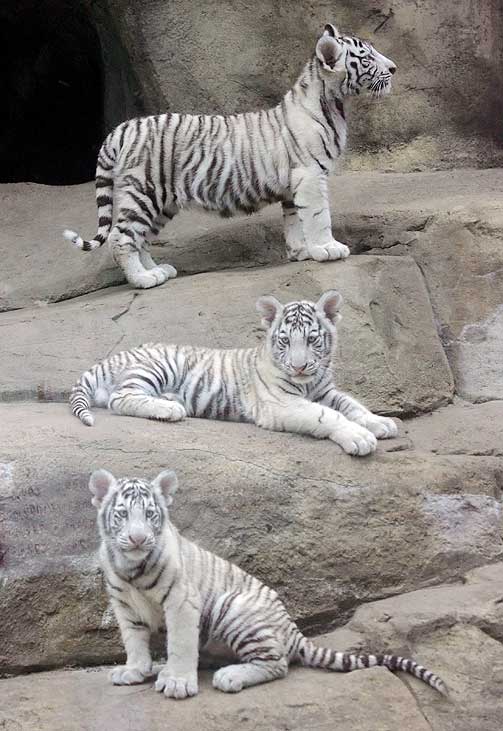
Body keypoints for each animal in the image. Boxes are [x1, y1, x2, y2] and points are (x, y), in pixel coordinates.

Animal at [63, 22, 397, 289]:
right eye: (367, 57)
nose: (394, 68)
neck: (333, 103)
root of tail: (121, 129)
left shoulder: (294, 184)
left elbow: (294, 220)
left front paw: (300, 252)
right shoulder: (311, 175)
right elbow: (318, 215)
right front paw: (328, 248)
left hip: (162, 202)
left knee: (140, 237)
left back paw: (157, 270)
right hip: (144, 191)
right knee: (122, 237)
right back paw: (143, 280)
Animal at [70, 290, 398, 457]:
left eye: (312, 340)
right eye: (285, 341)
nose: (299, 366)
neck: (308, 383)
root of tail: (116, 354)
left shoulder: (325, 391)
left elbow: (351, 405)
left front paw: (380, 422)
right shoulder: (281, 404)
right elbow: (327, 416)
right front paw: (360, 437)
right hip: (158, 365)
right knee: (119, 398)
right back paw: (170, 408)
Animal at [90, 467, 448, 699]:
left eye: (150, 514)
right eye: (122, 514)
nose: (138, 539)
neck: (131, 568)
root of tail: (292, 628)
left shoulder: (181, 601)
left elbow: (180, 643)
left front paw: (177, 682)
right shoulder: (124, 606)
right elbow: (133, 641)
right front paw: (134, 670)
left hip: (233, 608)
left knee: (277, 664)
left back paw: (229, 676)